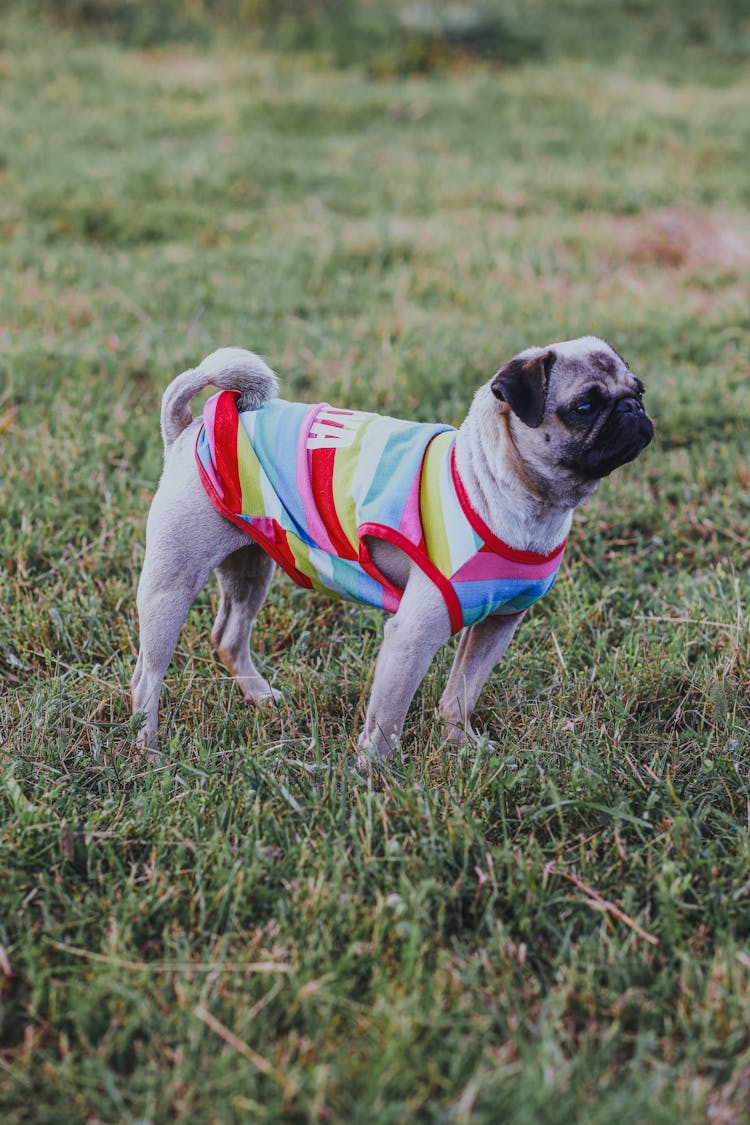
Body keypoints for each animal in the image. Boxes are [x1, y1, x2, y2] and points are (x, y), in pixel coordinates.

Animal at [132, 333, 652, 756]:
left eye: (639, 390)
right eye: (585, 407)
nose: (633, 410)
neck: (494, 484)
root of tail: (189, 427)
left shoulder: (497, 627)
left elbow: (461, 693)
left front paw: (462, 745)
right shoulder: (412, 636)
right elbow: (385, 722)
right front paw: (375, 780)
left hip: (251, 567)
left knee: (228, 636)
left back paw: (259, 697)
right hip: (171, 586)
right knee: (147, 676)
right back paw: (147, 749)